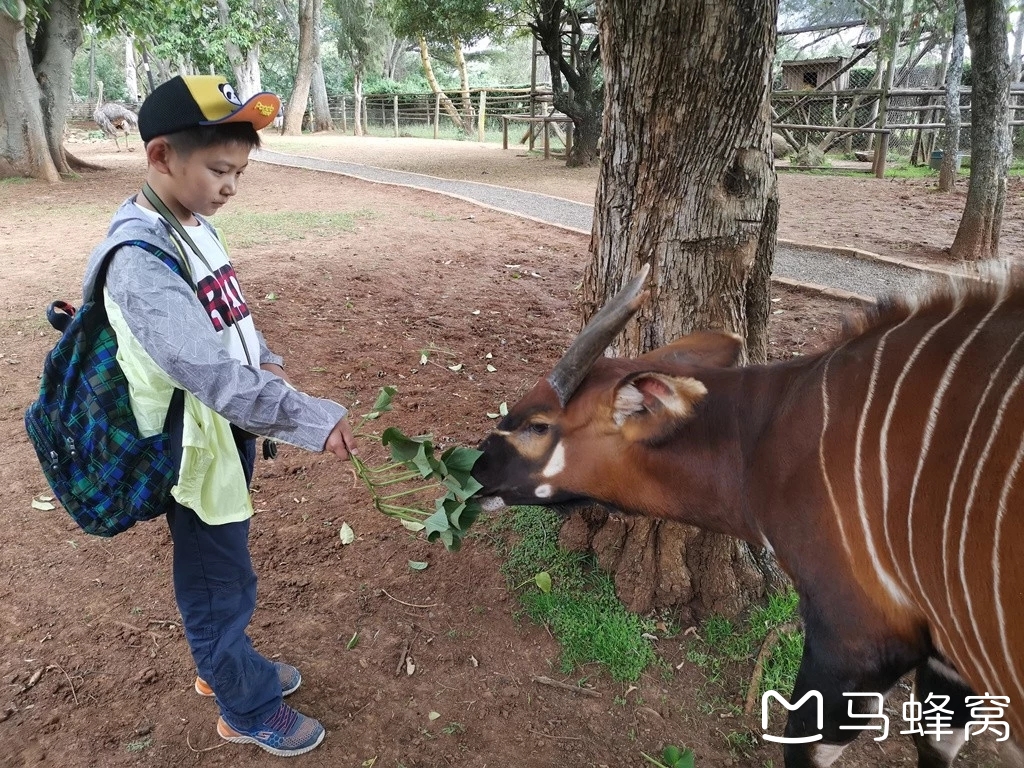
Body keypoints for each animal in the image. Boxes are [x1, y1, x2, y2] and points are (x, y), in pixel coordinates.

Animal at [471, 268, 1024, 765]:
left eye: (539, 425)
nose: (476, 469)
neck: (765, 436)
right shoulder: (948, 660)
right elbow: (936, 741)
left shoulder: (857, 637)